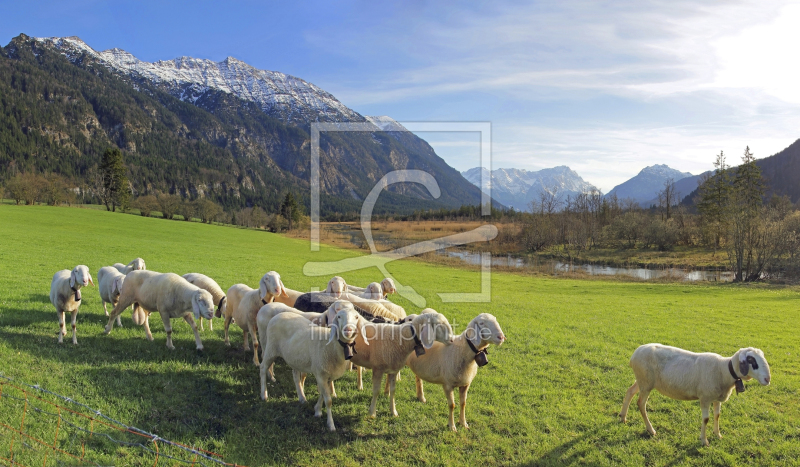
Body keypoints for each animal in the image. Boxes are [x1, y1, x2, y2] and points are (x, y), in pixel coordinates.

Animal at [260, 300, 368, 432]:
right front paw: (330, 424)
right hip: (270, 348)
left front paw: (317, 411)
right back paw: (264, 394)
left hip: (294, 357)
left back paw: (302, 398)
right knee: (263, 368)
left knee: (295, 375)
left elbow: (322, 394)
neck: (331, 346)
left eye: (356, 317)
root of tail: (277, 316)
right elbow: (328, 400)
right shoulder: (321, 373)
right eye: (338, 316)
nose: (348, 329)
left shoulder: (326, 375)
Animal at [620, 344, 768, 446]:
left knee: (629, 392)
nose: (767, 379)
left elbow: (717, 415)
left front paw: (718, 434)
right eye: (751, 360)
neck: (723, 370)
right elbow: (706, 419)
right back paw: (651, 430)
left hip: (642, 381)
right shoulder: (705, 397)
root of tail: (634, 355)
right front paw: (704, 441)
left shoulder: (717, 398)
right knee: (641, 403)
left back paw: (622, 417)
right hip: (646, 383)